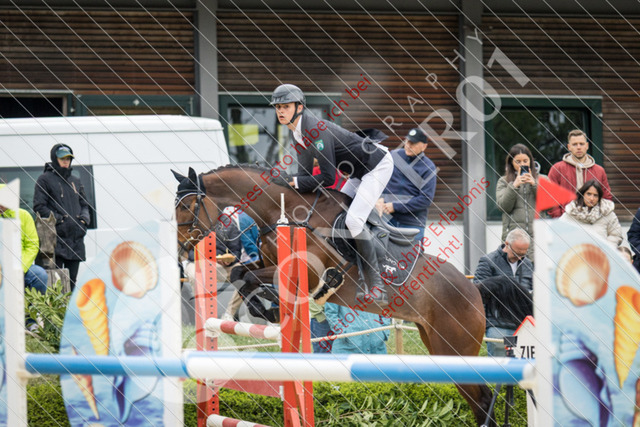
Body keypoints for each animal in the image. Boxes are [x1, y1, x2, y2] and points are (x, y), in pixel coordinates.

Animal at [174, 165, 494, 425]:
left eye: (188, 205)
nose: (182, 251)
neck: (287, 214)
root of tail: (474, 289)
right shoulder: (264, 263)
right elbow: (241, 275)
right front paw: (265, 310)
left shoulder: (303, 273)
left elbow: (252, 278)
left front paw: (272, 309)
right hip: (436, 343)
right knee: (478, 400)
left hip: (454, 346)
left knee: (483, 399)